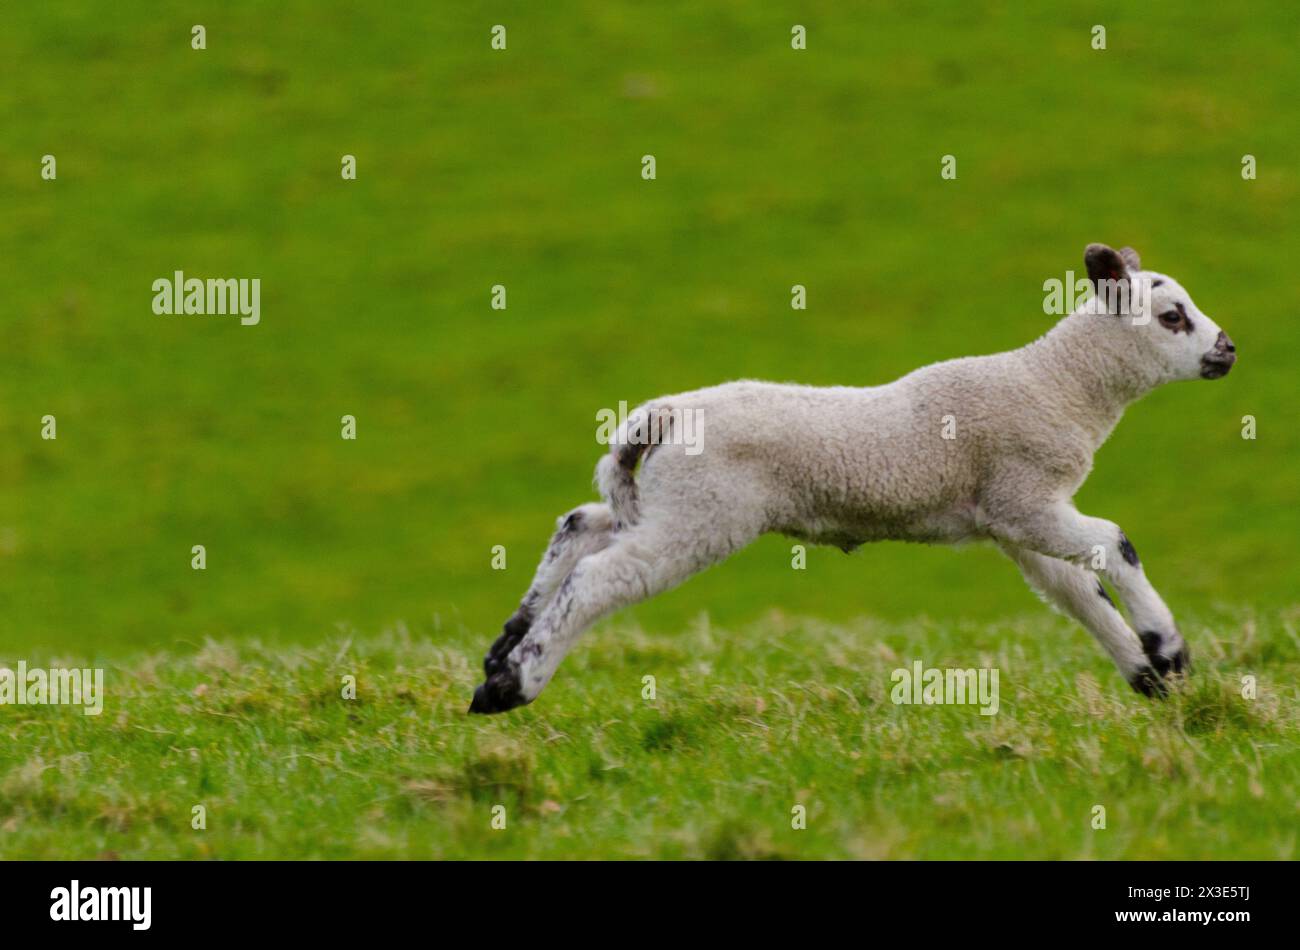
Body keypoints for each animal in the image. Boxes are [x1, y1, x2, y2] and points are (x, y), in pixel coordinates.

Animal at [470, 245, 1237, 712]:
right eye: (1173, 317)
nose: (1228, 350)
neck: (1059, 385)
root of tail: (660, 416)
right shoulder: (1025, 498)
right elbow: (1114, 544)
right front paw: (1168, 649)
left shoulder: (1009, 518)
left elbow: (1078, 592)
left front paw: (1151, 679)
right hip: (705, 514)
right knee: (602, 577)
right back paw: (512, 685)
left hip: (663, 501)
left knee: (580, 524)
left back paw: (504, 647)